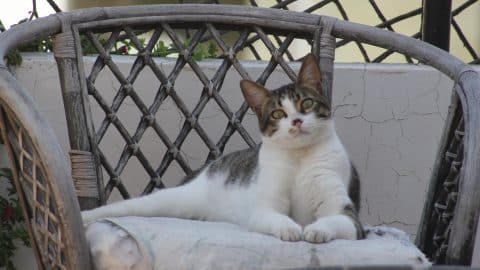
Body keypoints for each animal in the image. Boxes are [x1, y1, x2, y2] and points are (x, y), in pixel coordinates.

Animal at [82, 53, 366, 244]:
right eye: (278, 113)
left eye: (306, 104)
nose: (296, 121)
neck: (298, 157)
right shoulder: (263, 210)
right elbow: (277, 218)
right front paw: (291, 228)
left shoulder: (349, 216)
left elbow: (333, 220)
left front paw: (316, 229)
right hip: (168, 199)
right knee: (123, 207)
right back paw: (86, 216)